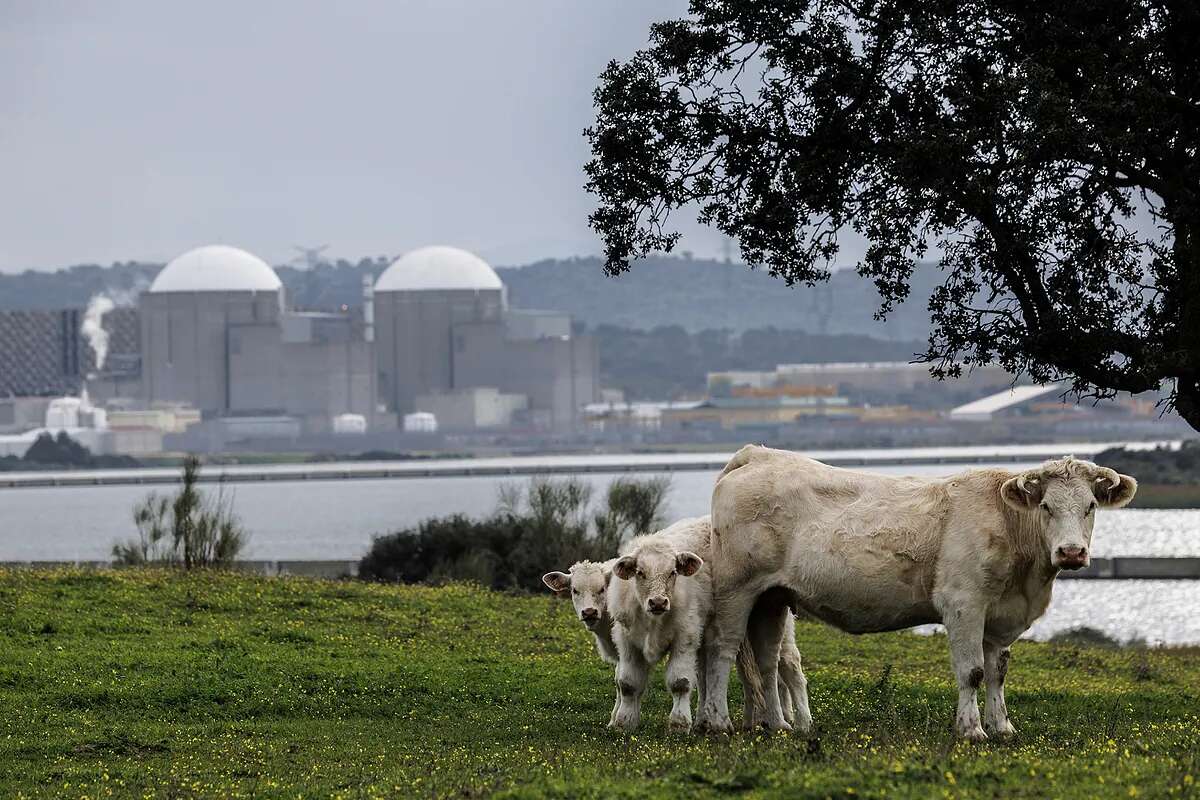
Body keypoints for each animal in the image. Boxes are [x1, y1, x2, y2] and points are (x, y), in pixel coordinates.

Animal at [696, 448, 1132, 743]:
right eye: (1045, 506)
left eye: (1091, 506)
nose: (1072, 552)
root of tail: (758, 455)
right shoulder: (964, 603)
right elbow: (972, 671)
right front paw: (971, 730)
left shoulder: (999, 615)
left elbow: (998, 672)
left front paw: (1002, 725)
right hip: (737, 590)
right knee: (722, 649)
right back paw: (718, 721)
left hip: (771, 598)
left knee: (767, 661)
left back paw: (778, 724)